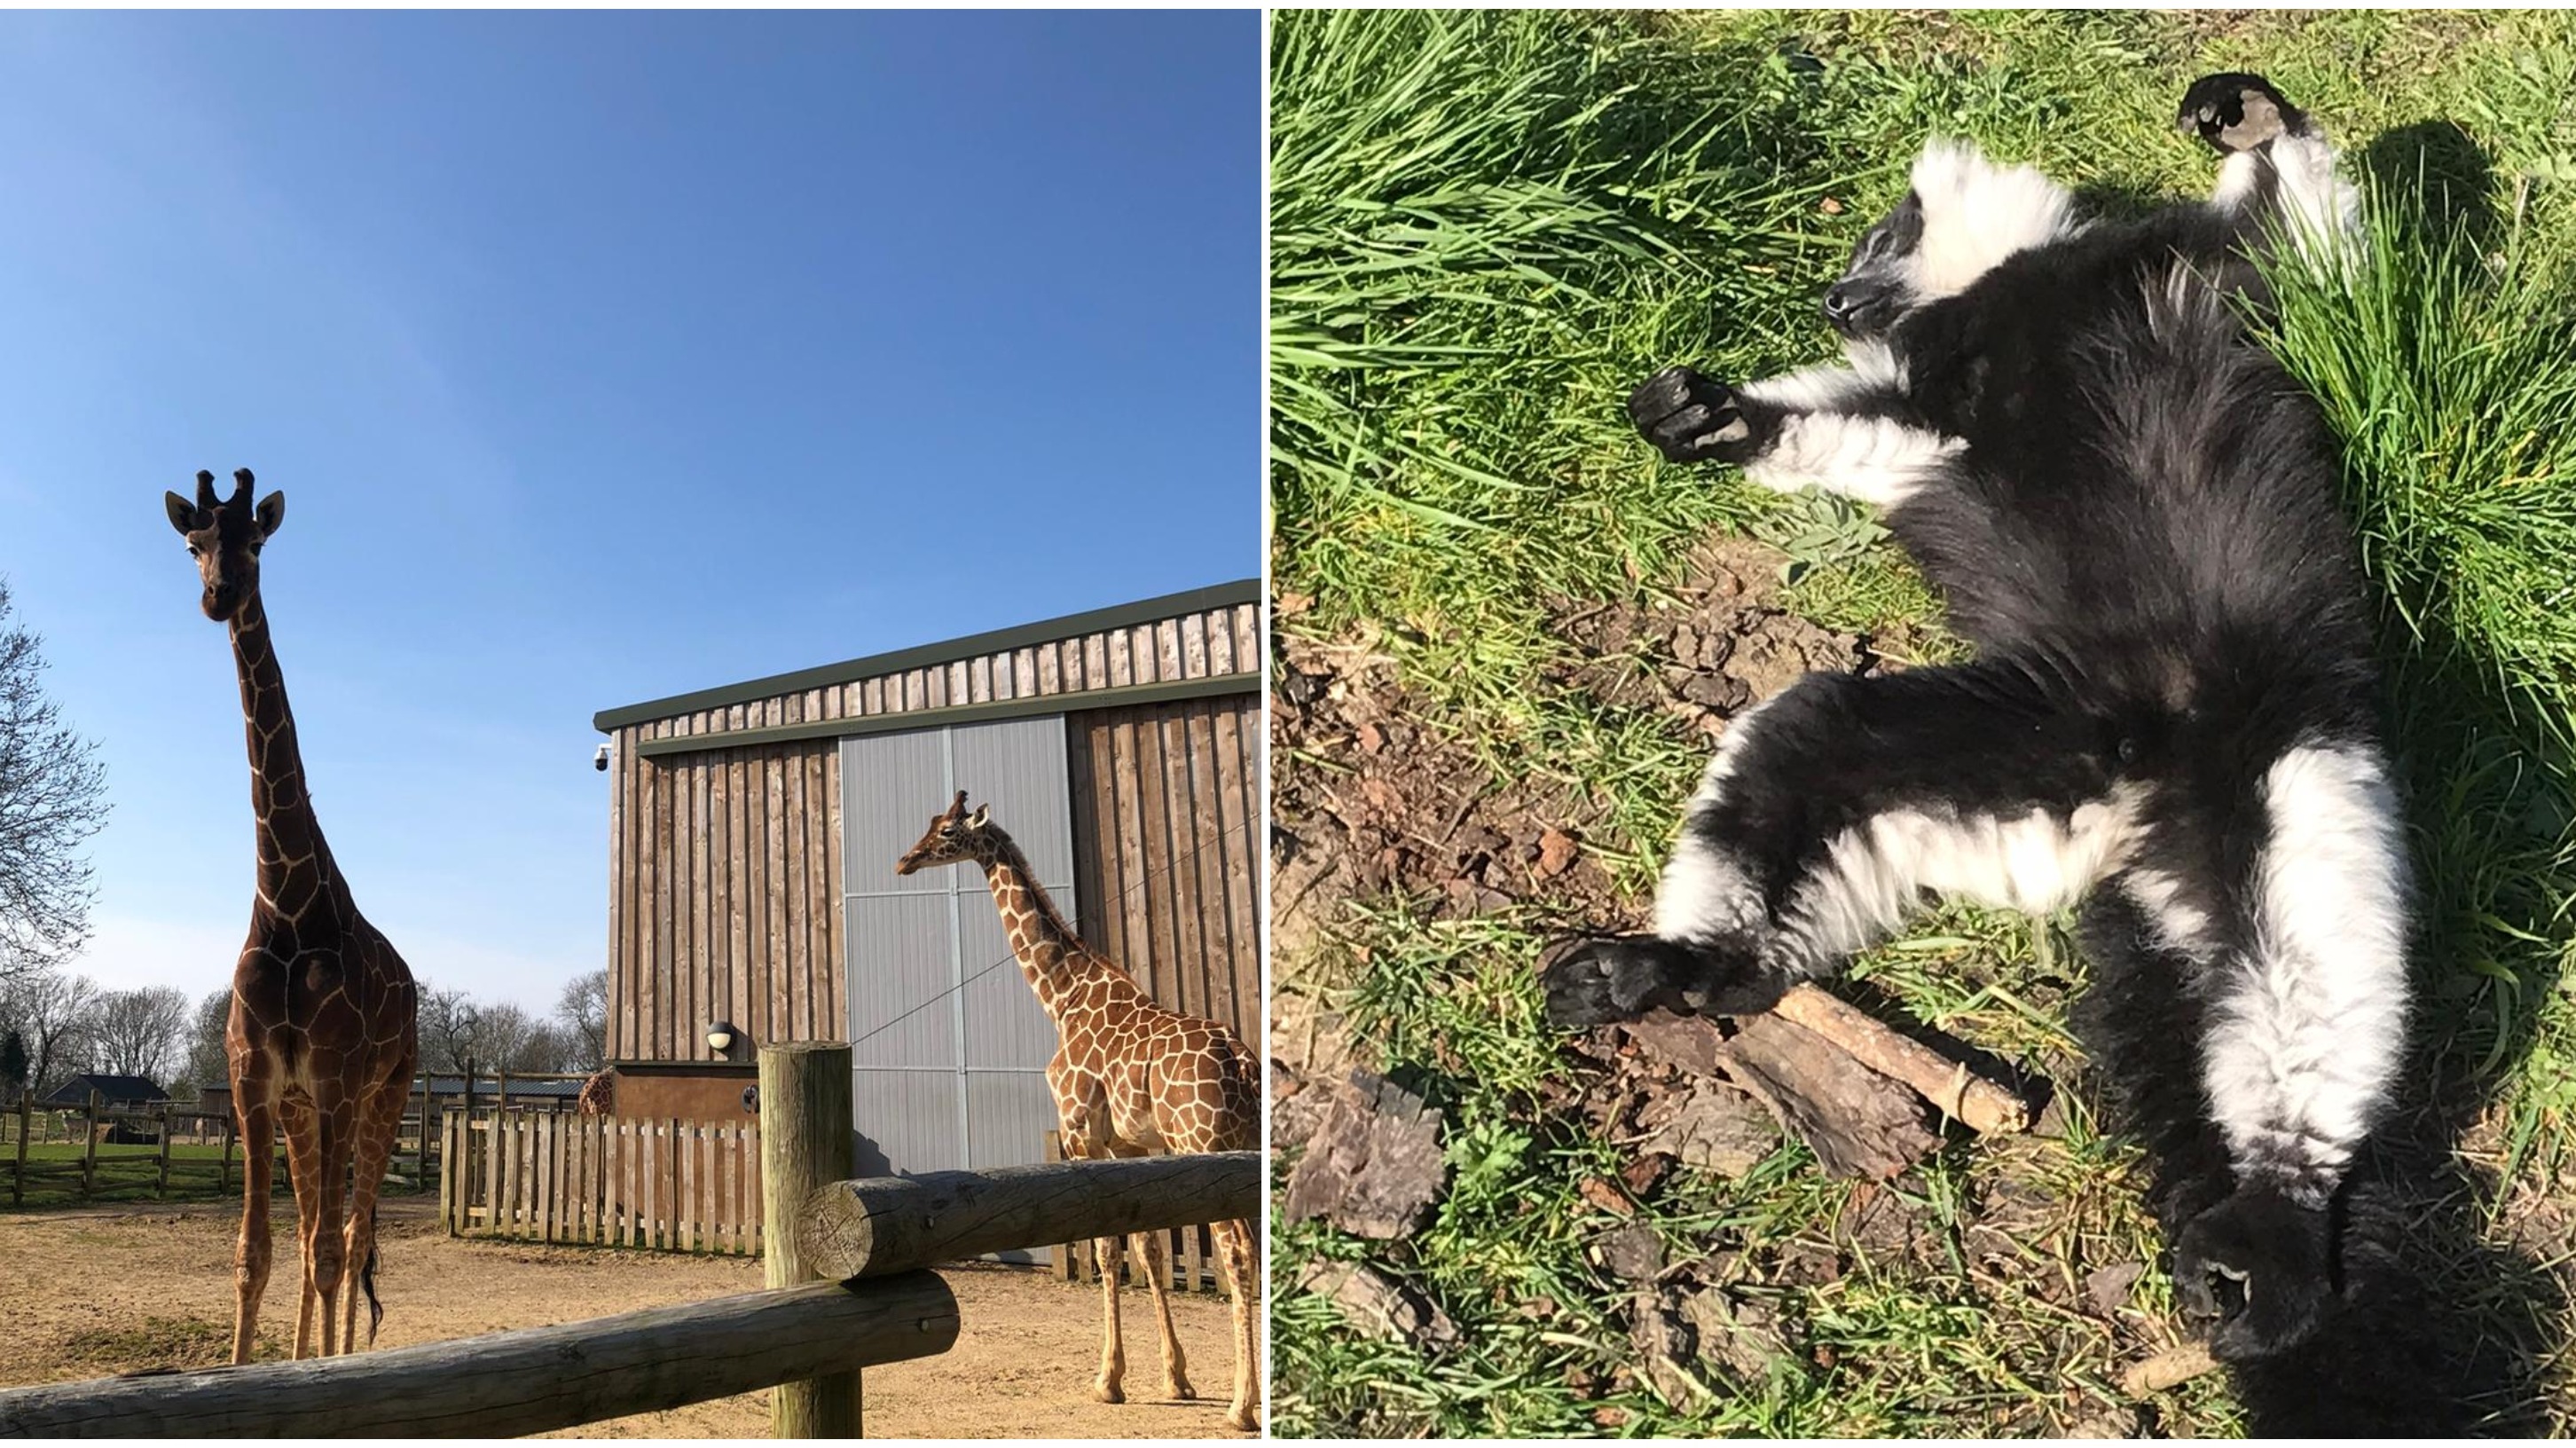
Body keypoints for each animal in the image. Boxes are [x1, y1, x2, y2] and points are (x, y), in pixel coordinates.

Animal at [169, 468, 420, 1360]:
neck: (285, 899)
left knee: (352, 1232)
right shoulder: (257, 1086)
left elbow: (329, 1250)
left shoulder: (340, 1083)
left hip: (387, 1096)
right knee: (318, 1232)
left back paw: (341, 1354)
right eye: (194, 542)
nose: (220, 595)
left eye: (258, 540)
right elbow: (256, 1256)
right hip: (303, 1113)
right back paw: (310, 1352)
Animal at [901, 788, 1261, 1432]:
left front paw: (1108, 1381)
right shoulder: (1132, 1145)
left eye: (945, 832)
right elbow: (1146, 1247)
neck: (1062, 997)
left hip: (1206, 1144)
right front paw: (1175, 1378)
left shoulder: (1079, 1131)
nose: (905, 860)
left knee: (1238, 1251)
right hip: (1238, 1147)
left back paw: (1243, 1407)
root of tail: (1242, 1063)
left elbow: (1105, 1248)